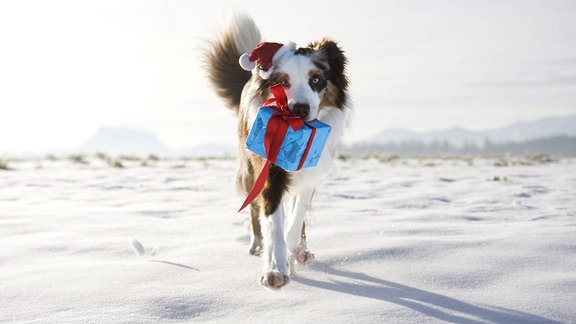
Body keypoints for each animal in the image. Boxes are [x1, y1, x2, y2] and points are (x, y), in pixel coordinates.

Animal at [206, 13, 352, 290]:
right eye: (283, 82)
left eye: (315, 79)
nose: (300, 109)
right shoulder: (268, 171)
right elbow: (272, 221)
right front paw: (275, 269)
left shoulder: (311, 171)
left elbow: (296, 217)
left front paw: (292, 249)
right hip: (247, 168)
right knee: (254, 210)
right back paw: (256, 245)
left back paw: (301, 251)